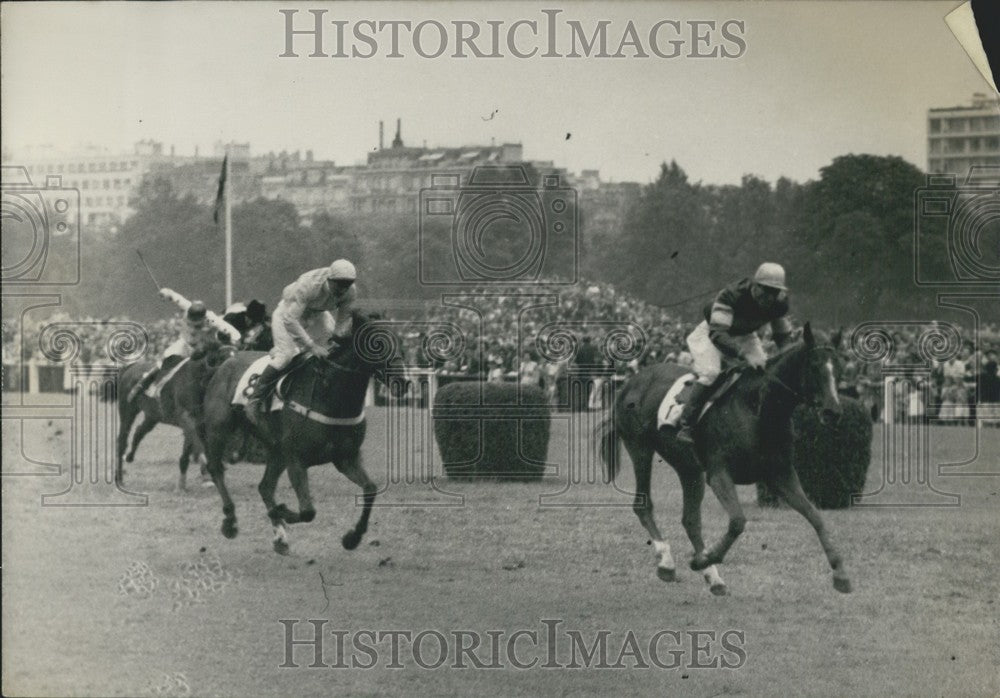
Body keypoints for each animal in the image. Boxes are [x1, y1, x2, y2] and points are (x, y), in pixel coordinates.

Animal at [197, 312, 404, 552]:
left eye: (399, 341)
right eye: (377, 345)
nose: (403, 381)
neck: (330, 395)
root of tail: (224, 363)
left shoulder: (346, 458)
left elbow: (370, 489)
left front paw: (353, 537)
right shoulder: (296, 459)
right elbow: (308, 511)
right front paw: (281, 510)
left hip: (276, 449)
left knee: (265, 487)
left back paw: (280, 537)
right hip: (218, 430)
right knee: (217, 469)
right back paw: (231, 520)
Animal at [596, 322, 848, 592]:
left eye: (839, 368)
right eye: (814, 366)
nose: (833, 412)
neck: (758, 409)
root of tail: (631, 381)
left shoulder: (781, 474)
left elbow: (816, 517)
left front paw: (841, 574)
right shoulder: (719, 473)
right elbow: (737, 521)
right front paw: (704, 558)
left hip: (689, 469)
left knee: (690, 520)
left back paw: (713, 578)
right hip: (640, 448)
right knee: (643, 505)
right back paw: (667, 563)